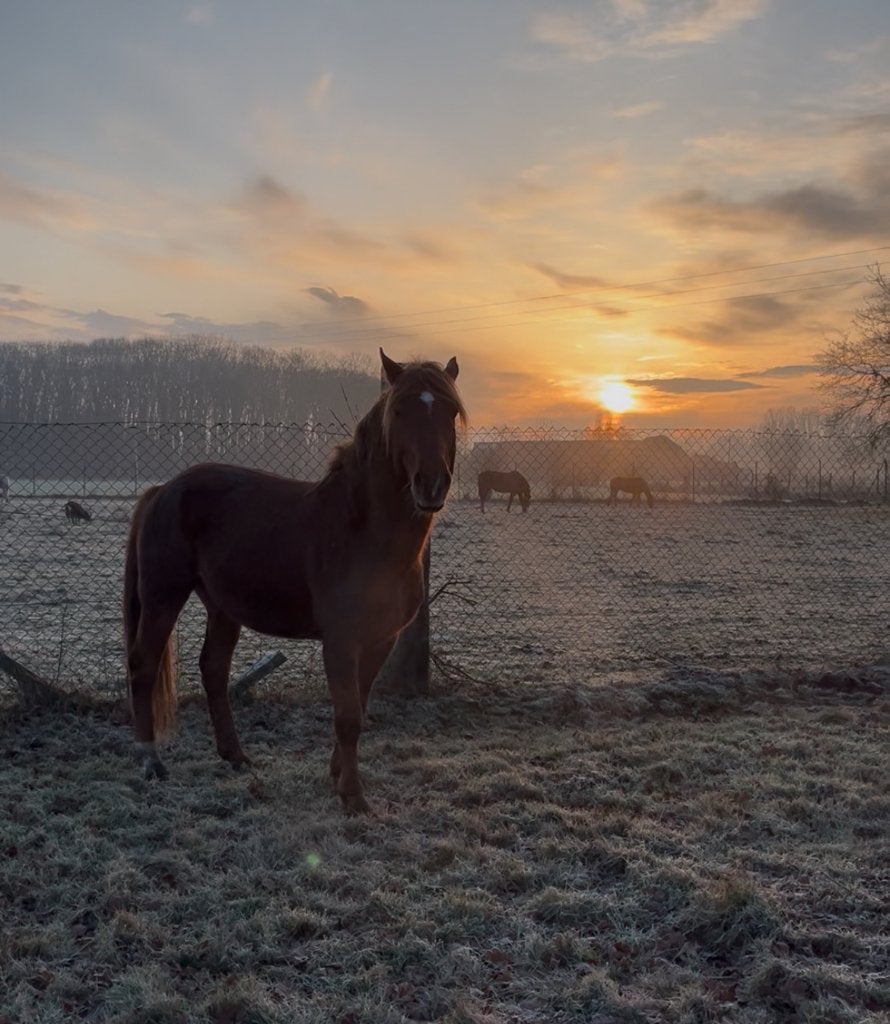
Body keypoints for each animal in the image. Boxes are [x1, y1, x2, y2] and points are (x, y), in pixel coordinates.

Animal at [124, 349, 465, 815]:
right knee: (143, 664)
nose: (431, 485)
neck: (361, 529)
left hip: (222, 607)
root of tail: (163, 490)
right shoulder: (340, 640)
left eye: (451, 411)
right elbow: (347, 716)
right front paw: (353, 796)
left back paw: (235, 755)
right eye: (399, 410)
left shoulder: (381, 639)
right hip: (163, 595)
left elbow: (359, 706)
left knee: (213, 669)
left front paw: (338, 776)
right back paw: (150, 762)